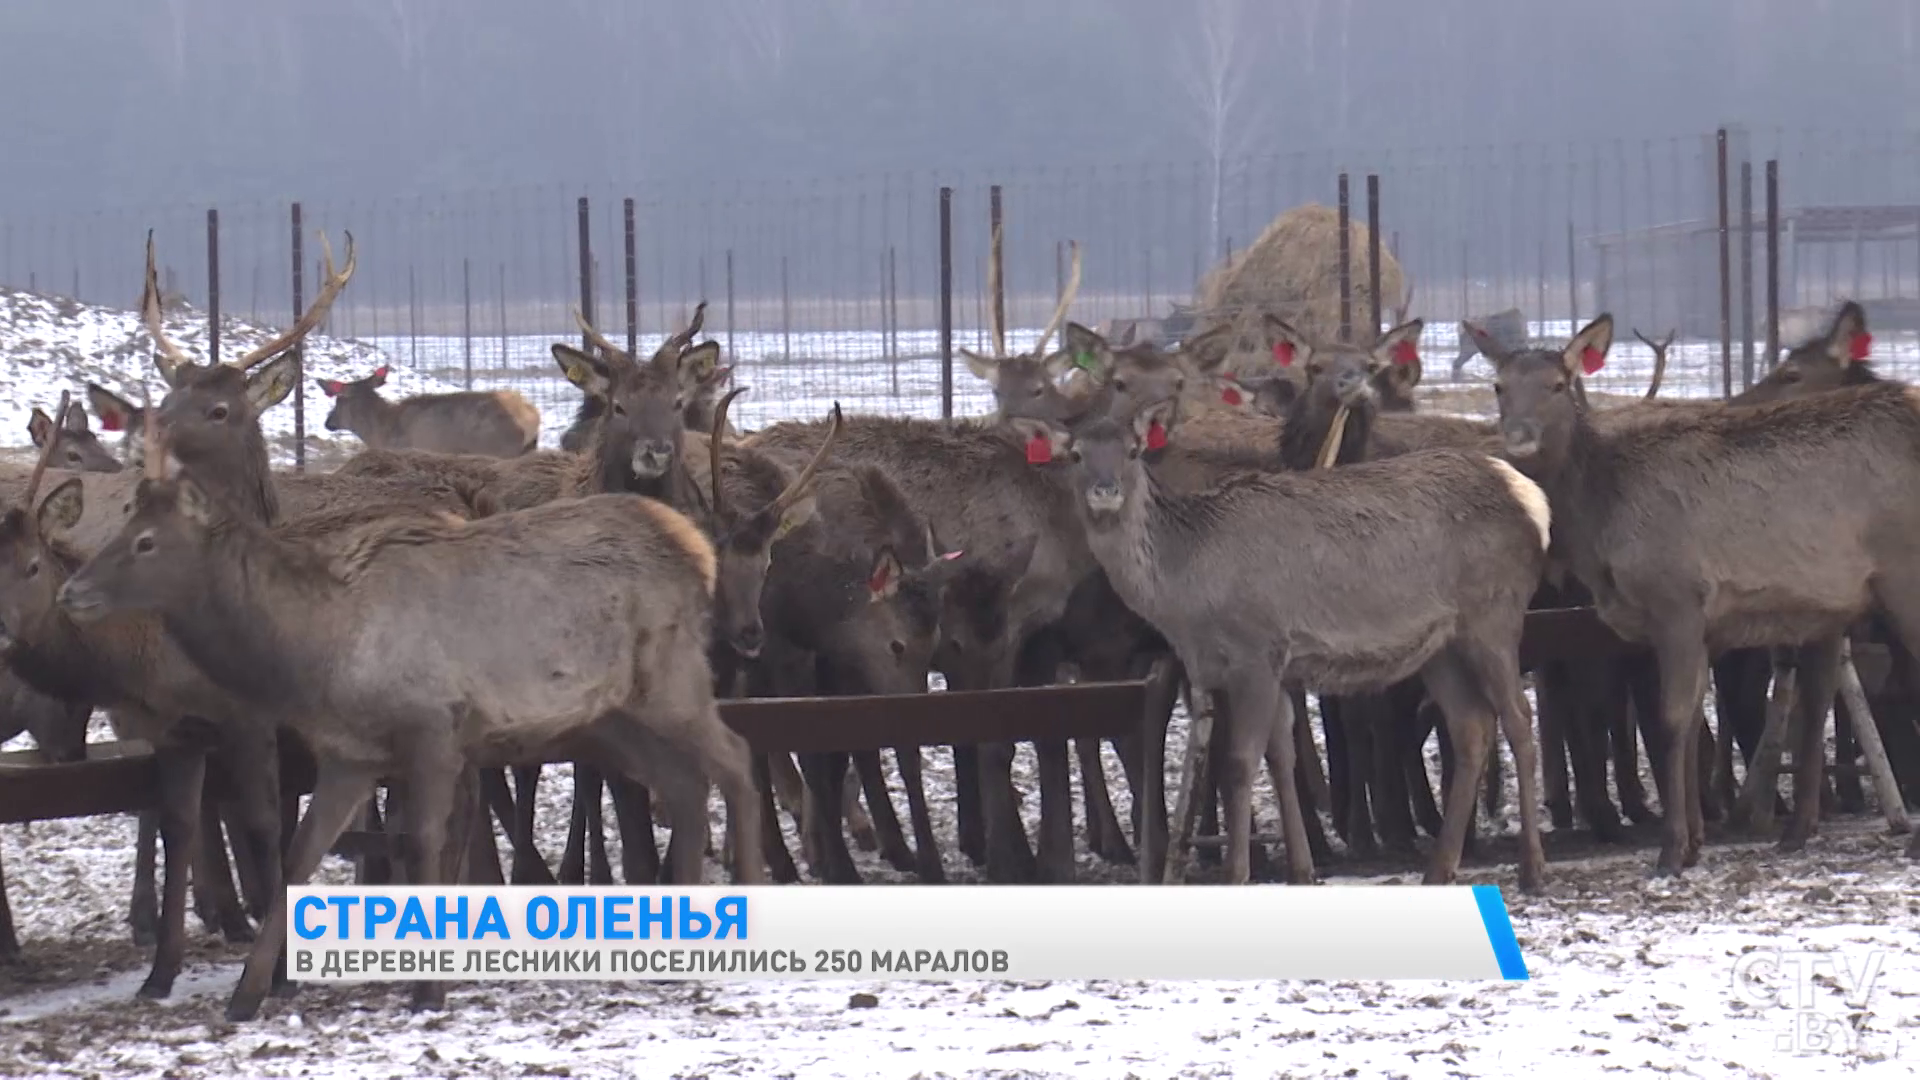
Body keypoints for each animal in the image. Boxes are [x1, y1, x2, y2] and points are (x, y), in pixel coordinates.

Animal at [60, 403, 764, 1014]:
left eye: (145, 542)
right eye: (121, 526)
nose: (71, 591)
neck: (317, 647)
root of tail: (695, 548)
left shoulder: (432, 730)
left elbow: (424, 844)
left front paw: (428, 989)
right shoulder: (348, 755)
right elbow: (301, 856)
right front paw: (247, 995)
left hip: (670, 680)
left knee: (735, 759)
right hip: (608, 717)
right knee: (685, 783)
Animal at [1013, 393, 1551, 883]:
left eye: (1132, 450)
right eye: (1076, 454)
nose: (1104, 491)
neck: (1184, 594)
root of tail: (1531, 500)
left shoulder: (1257, 649)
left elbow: (1240, 763)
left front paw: (1237, 874)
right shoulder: (1241, 666)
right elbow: (1280, 757)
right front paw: (1301, 870)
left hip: (1493, 615)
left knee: (1519, 720)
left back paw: (1531, 866)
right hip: (1441, 644)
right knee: (1472, 725)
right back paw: (1439, 868)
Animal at [1489, 315, 1920, 868]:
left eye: (1558, 385)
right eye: (1499, 386)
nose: (1518, 438)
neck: (1599, 522)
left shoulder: (1677, 599)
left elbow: (1672, 720)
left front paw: (1672, 849)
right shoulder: (1695, 627)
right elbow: (1695, 719)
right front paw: (1695, 840)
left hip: (1903, 570)